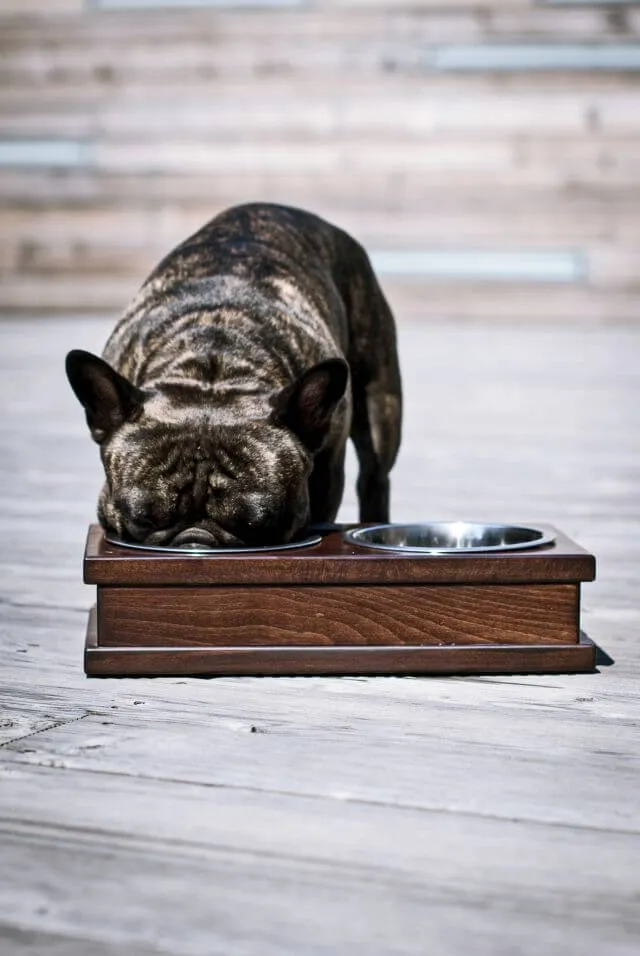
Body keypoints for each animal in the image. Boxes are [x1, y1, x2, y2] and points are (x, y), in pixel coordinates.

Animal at [65, 202, 400, 544]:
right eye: (142, 520)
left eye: (257, 526)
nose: (195, 539)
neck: (214, 366)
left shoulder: (327, 473)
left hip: (379, 406)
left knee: (374, 476)